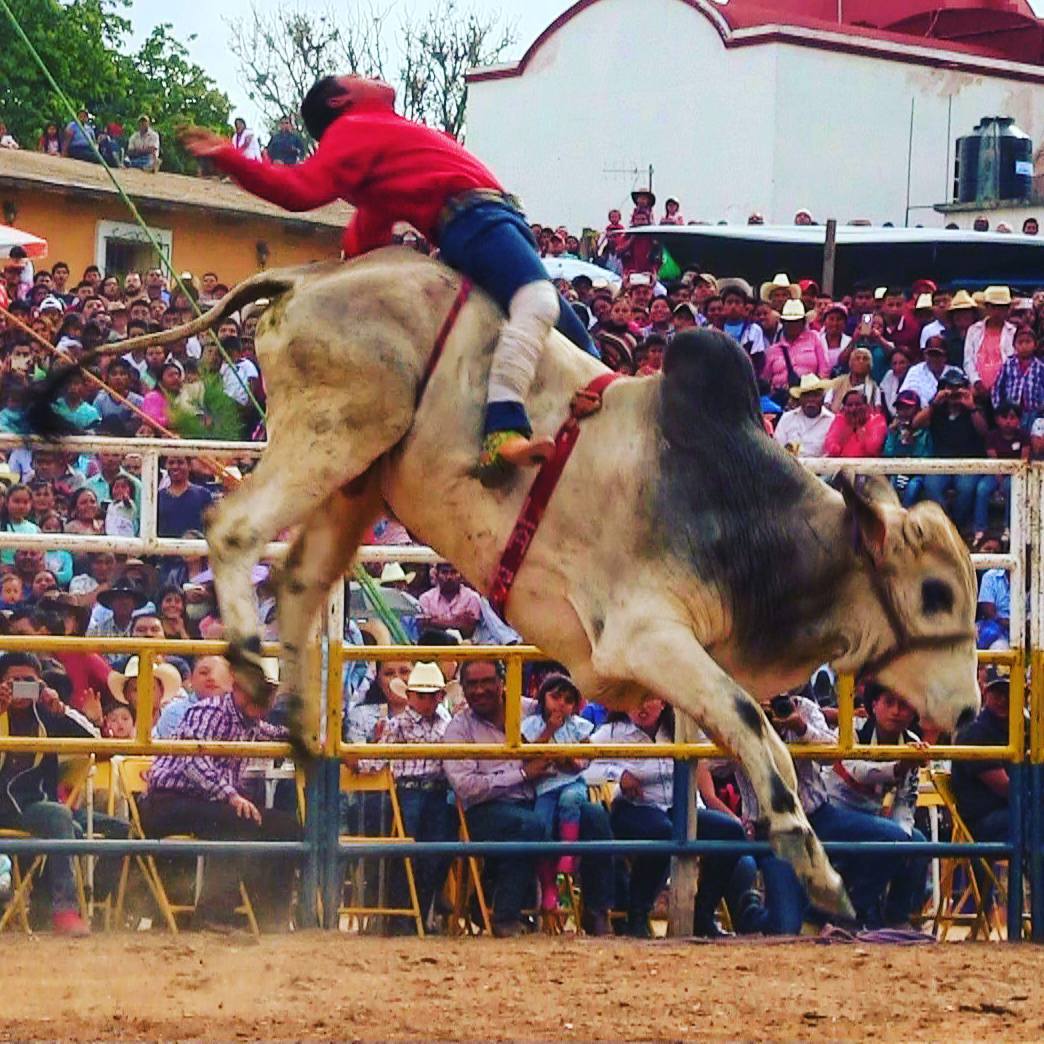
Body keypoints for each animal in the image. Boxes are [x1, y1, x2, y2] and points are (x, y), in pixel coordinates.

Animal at [30, 248, 977, 918]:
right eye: (934, 593)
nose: (969, 711)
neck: (737, 514)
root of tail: (311, 276)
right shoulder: (644, 635)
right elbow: (755, 725)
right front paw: (815, 867)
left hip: (356, 480)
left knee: (298, 582)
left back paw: (297, 717)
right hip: (331, 436)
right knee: (234, 529)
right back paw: (250, 669)